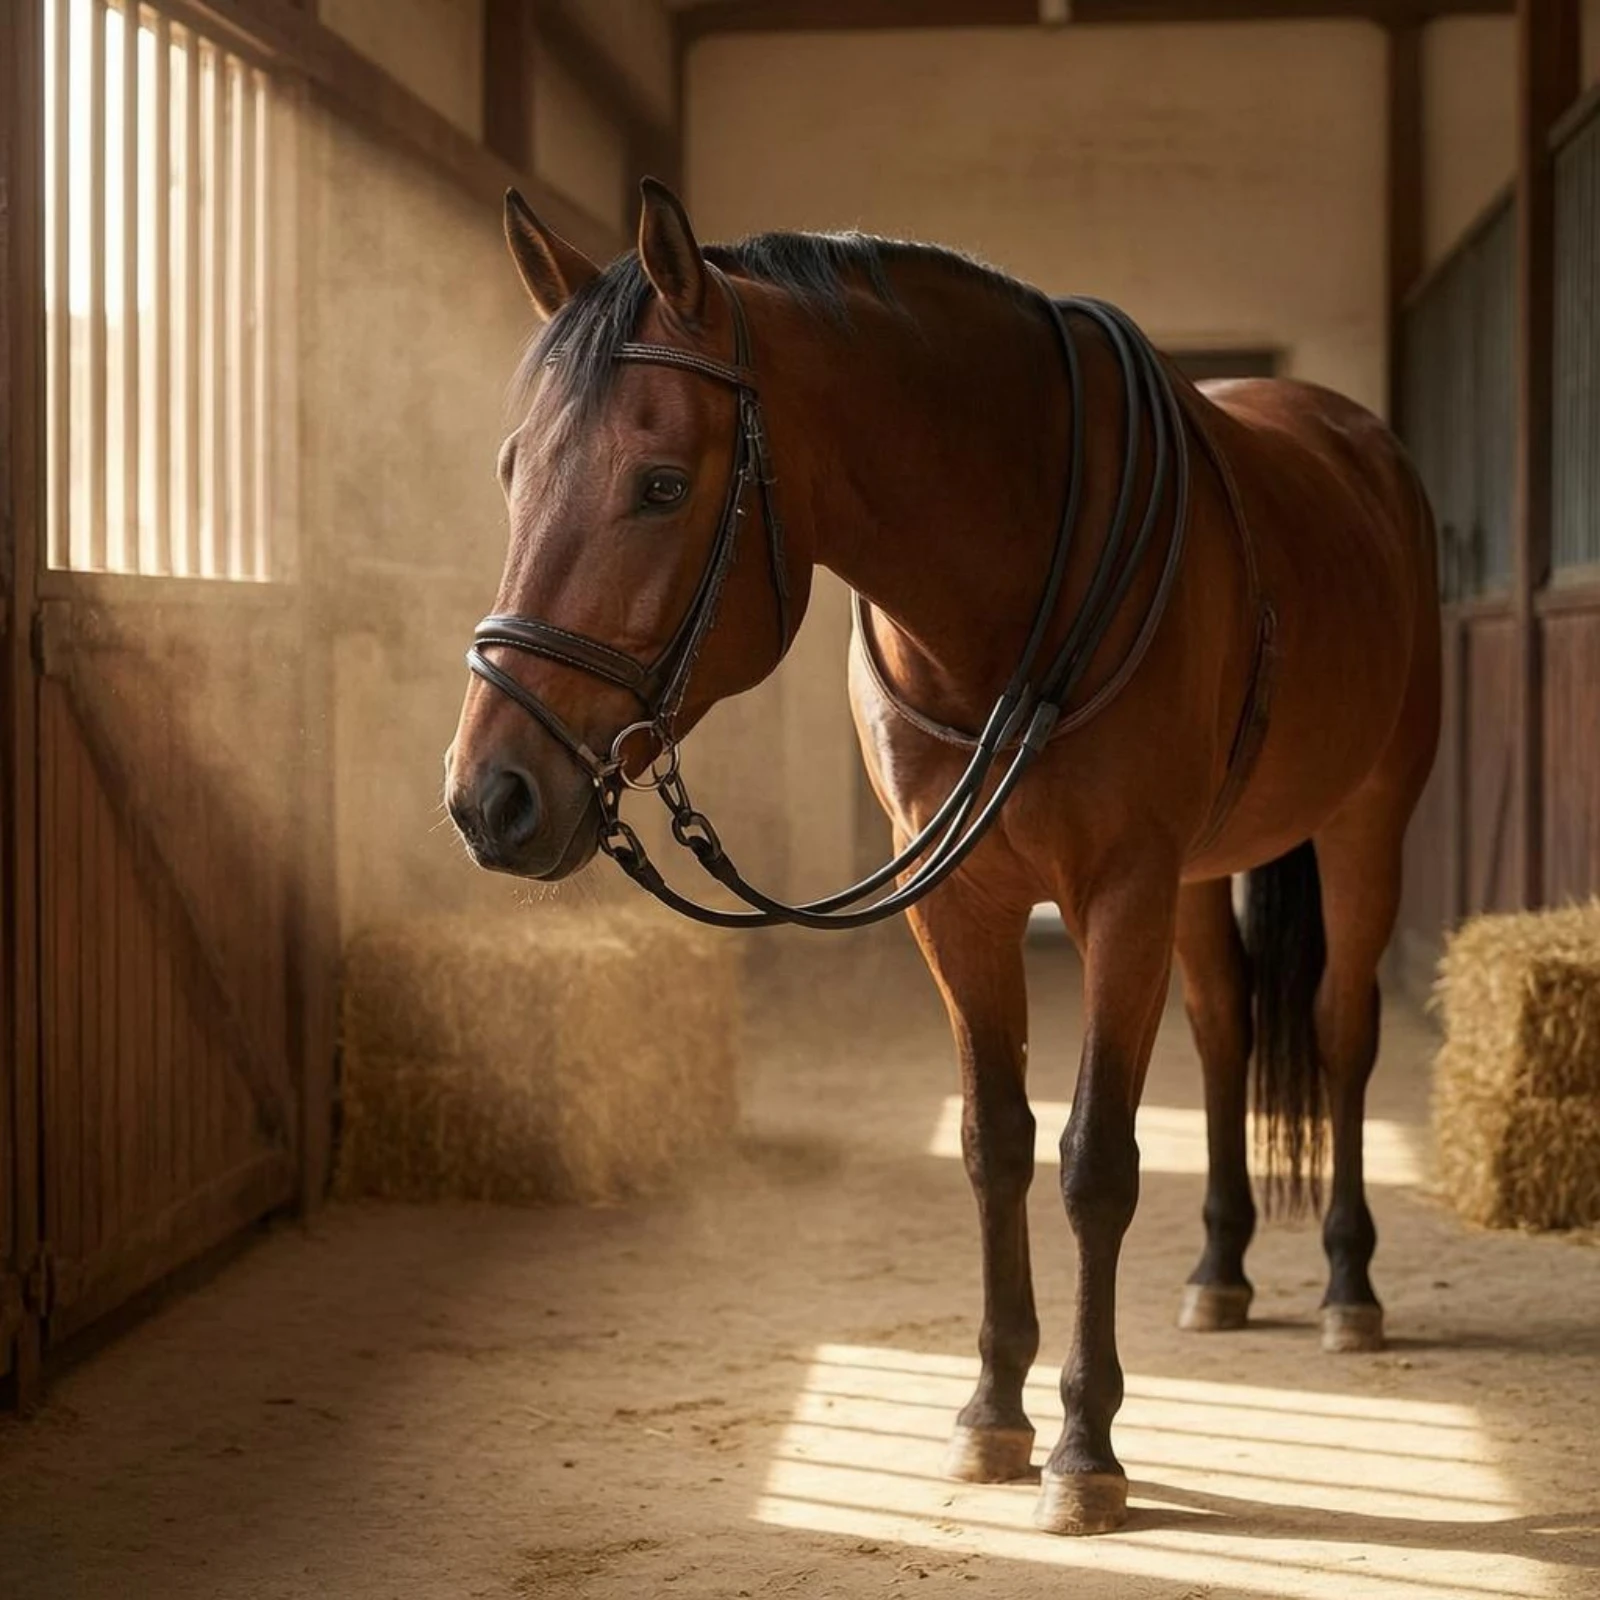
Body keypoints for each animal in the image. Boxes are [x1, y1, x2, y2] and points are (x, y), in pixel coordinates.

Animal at [445, 179, 1441, 1536]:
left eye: (657, 484)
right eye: (513, 471)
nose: (488, 797)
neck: (1011, 578)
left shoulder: (1120, 890)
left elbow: (1094, 1161)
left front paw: (1084, 1447)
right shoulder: (960, 902)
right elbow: (993, 1143)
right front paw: (990, 1413)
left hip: (1363, 824)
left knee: (1339, 1033)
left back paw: (1348, 1286)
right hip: (1197, 881)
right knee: (1227, 1030)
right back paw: (1221, 1268)